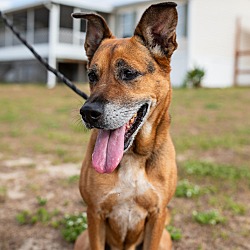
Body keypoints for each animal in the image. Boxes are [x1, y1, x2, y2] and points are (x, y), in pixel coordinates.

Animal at [72, 2, 178, 250]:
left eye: (128, 73)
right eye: (92, 75)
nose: (88, 113)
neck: (133, 156)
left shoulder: (157, 215)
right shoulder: (95, 213)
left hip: (165, 239)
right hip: (83, 239)